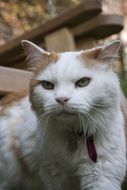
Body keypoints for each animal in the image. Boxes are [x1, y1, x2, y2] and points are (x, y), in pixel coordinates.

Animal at [0, 40, 126, 190]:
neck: (74, 136)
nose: (62, 99)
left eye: (83, 82)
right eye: (47, 85)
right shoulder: (54, 178)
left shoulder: (102, 176)